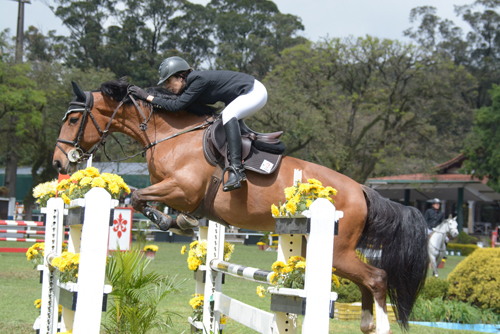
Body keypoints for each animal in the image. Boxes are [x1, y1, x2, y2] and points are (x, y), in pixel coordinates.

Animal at [51, 79, 430, 332]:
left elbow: (137, 196)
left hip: (337, 251)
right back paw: (367, 322)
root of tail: (363, 190)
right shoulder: (177, 192)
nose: (59, 163)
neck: (169, 135)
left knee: (377, 278)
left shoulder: (181, 189)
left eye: (73, 119)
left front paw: (169, 222)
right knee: (368, 282)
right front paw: (181, 223)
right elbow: (141, 197)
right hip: (332, 254)